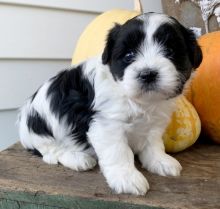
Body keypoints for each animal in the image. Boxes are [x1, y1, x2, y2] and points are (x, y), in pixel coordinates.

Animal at [18, 12, 202, 196]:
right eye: (129, 55)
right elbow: (118, 152)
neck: (137, 100)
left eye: (170, 52)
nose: (148, 74)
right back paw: (78, 159)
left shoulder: (154, 124)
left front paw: (160, 161)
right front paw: (126, 178)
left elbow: (153, 144)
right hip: (40, 131)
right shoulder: (107, 125)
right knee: (51, 153)